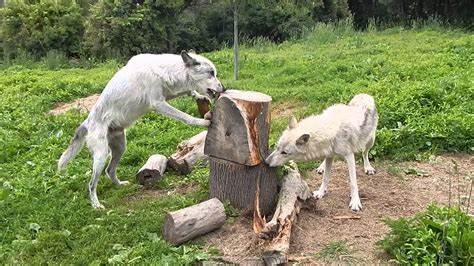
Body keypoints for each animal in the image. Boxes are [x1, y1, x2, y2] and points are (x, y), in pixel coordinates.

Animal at [57, 51, 226, 208]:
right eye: (211, 73)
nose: (224, 88)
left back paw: (121, 185)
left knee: (109, 171)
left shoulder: (168, 95)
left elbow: (189, 91)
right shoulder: (159, 104)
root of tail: (87, 122)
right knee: (91, 184)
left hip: (120, 149)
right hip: (101, 156)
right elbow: (185, 117)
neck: (163, 72)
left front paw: (200, 97)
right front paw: (203, 122)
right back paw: (96, 205)